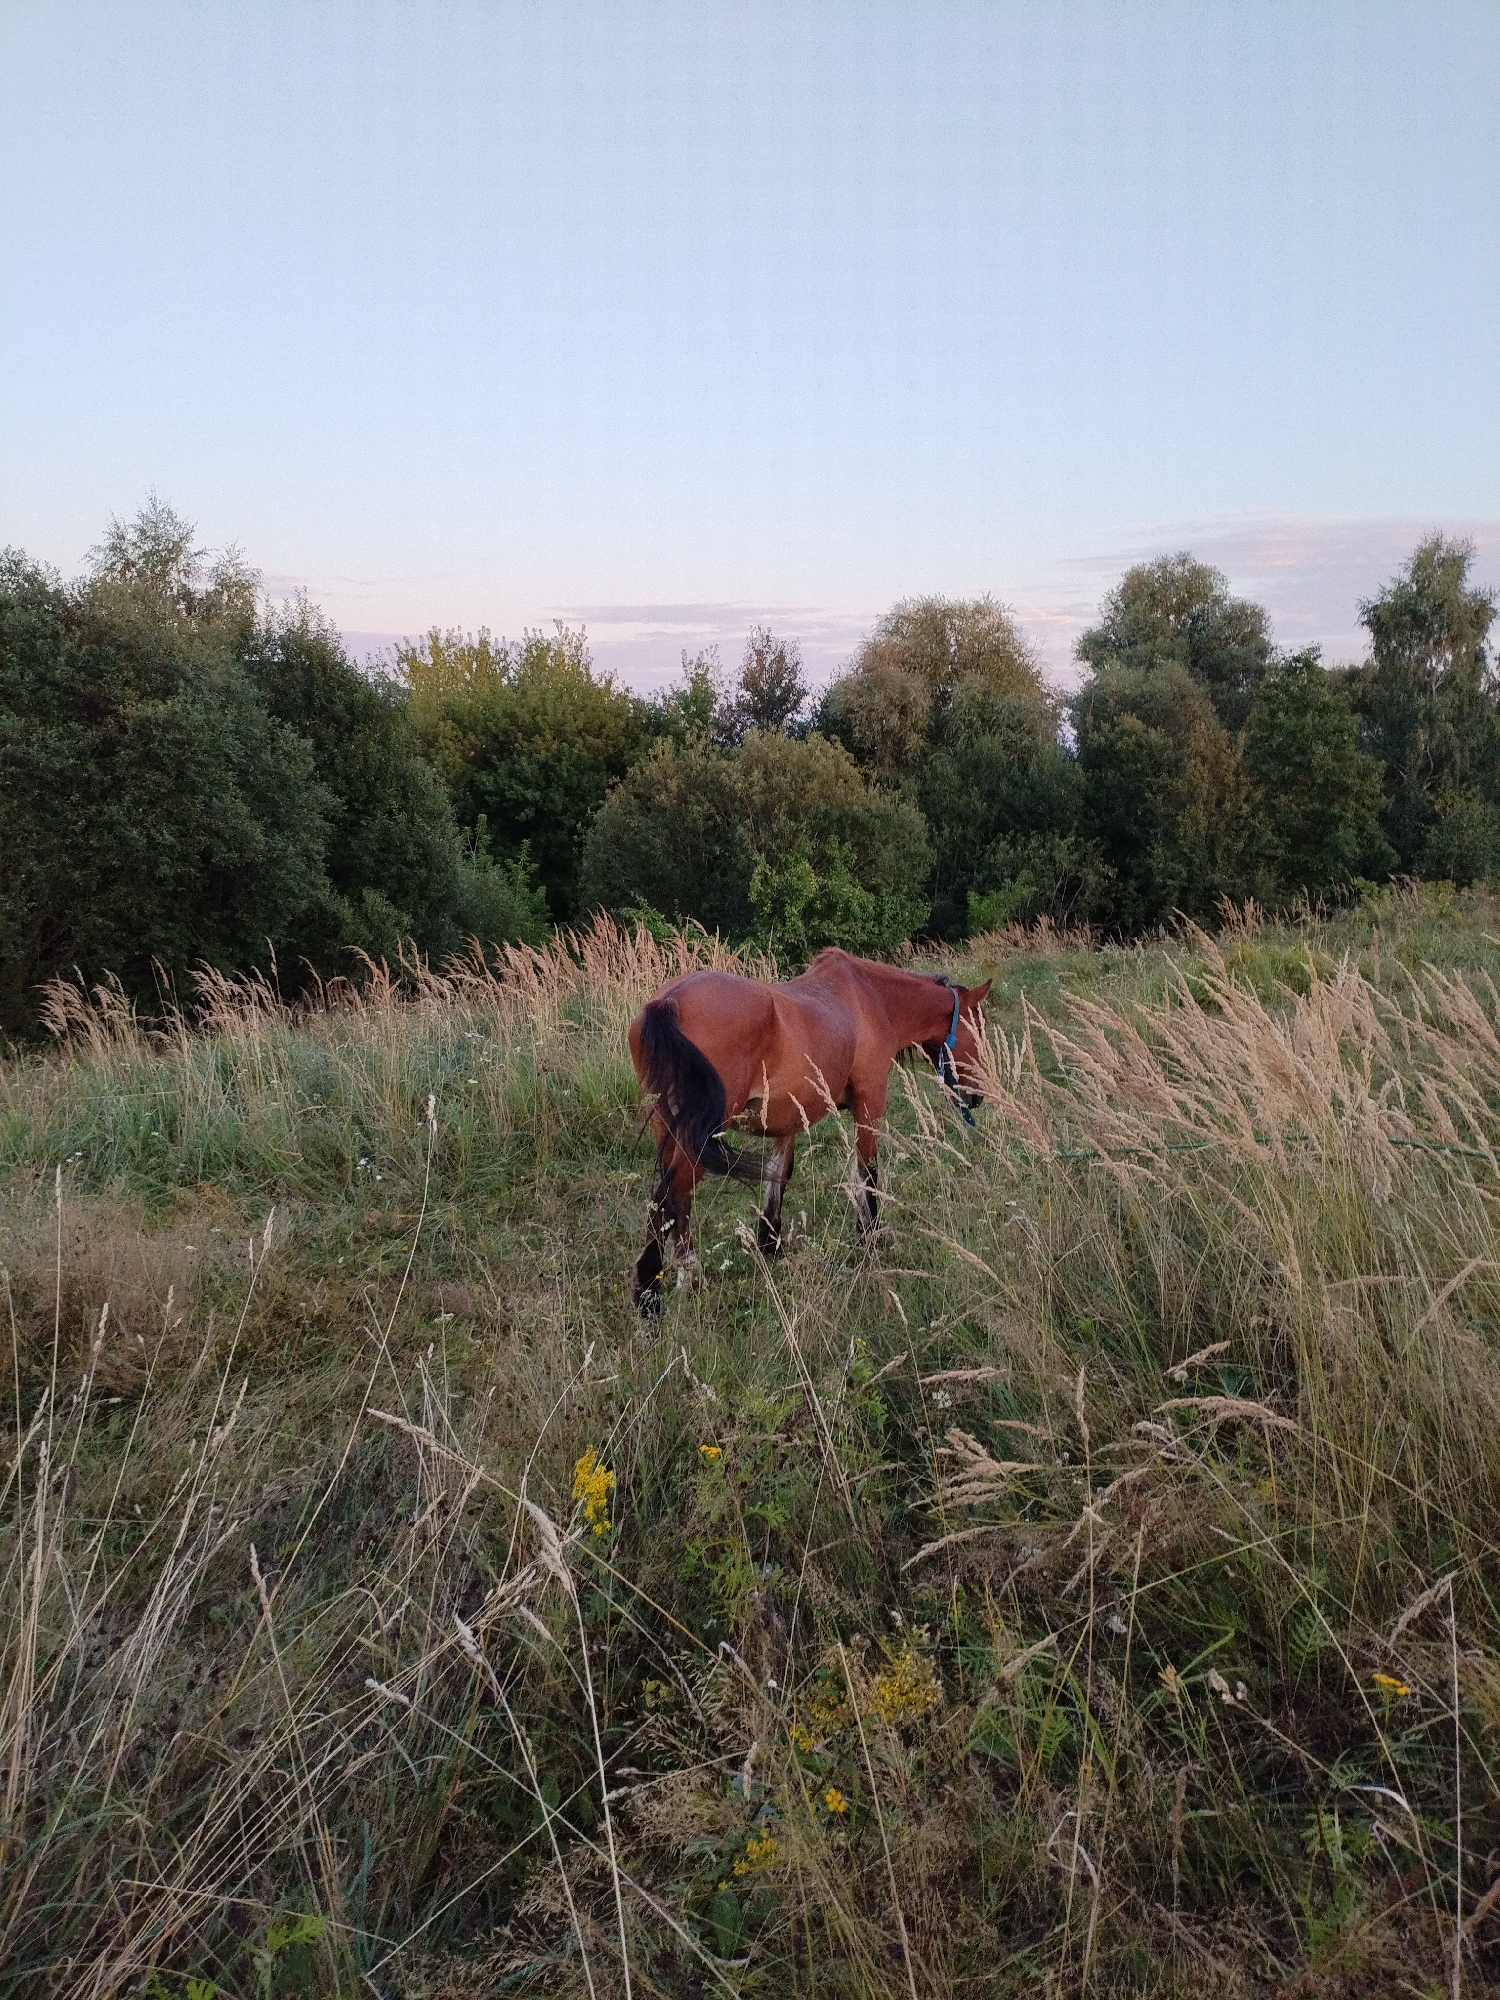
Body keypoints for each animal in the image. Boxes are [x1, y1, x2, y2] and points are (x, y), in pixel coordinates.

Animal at [627, 947, 991, 1311]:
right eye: (978, 1028)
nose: (977, 1096)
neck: (871, 999)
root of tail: (669, 1002)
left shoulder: (787, 1119)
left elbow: (779, 1176)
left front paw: (771, 1246)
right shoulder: (869, 1105)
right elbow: (866, 1176)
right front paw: (870, 1241)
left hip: (670, 1129)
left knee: (677, 1200)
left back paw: (688, 1275)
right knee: (666, 1198)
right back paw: (650, 1296)